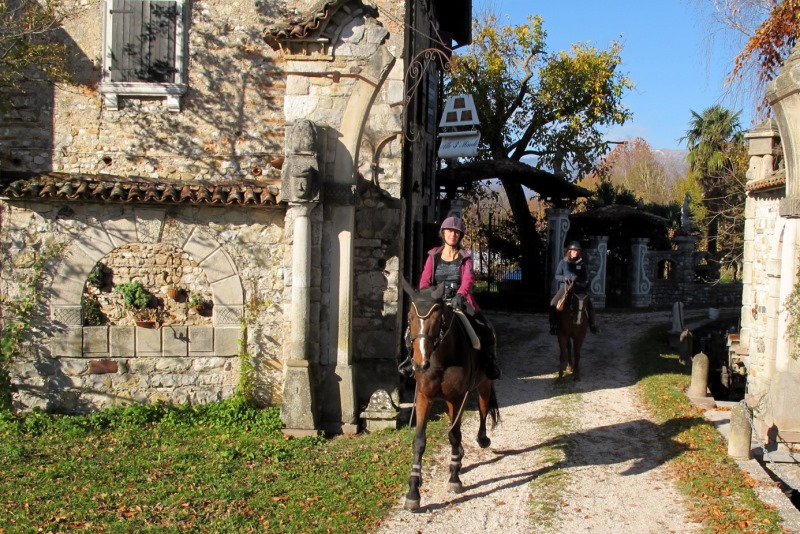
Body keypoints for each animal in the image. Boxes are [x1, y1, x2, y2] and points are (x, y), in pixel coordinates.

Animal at [404, 278, 496, 512]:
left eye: (438, 318)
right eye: (409, 317)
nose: (419, 363)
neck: (440, 359)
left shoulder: (457, 397)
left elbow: (454, 435)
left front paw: (454, 479)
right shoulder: (423, 398)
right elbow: (419, 441)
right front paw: (413, 491)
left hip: (484, 383)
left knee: (483, 409)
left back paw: (481, 440)